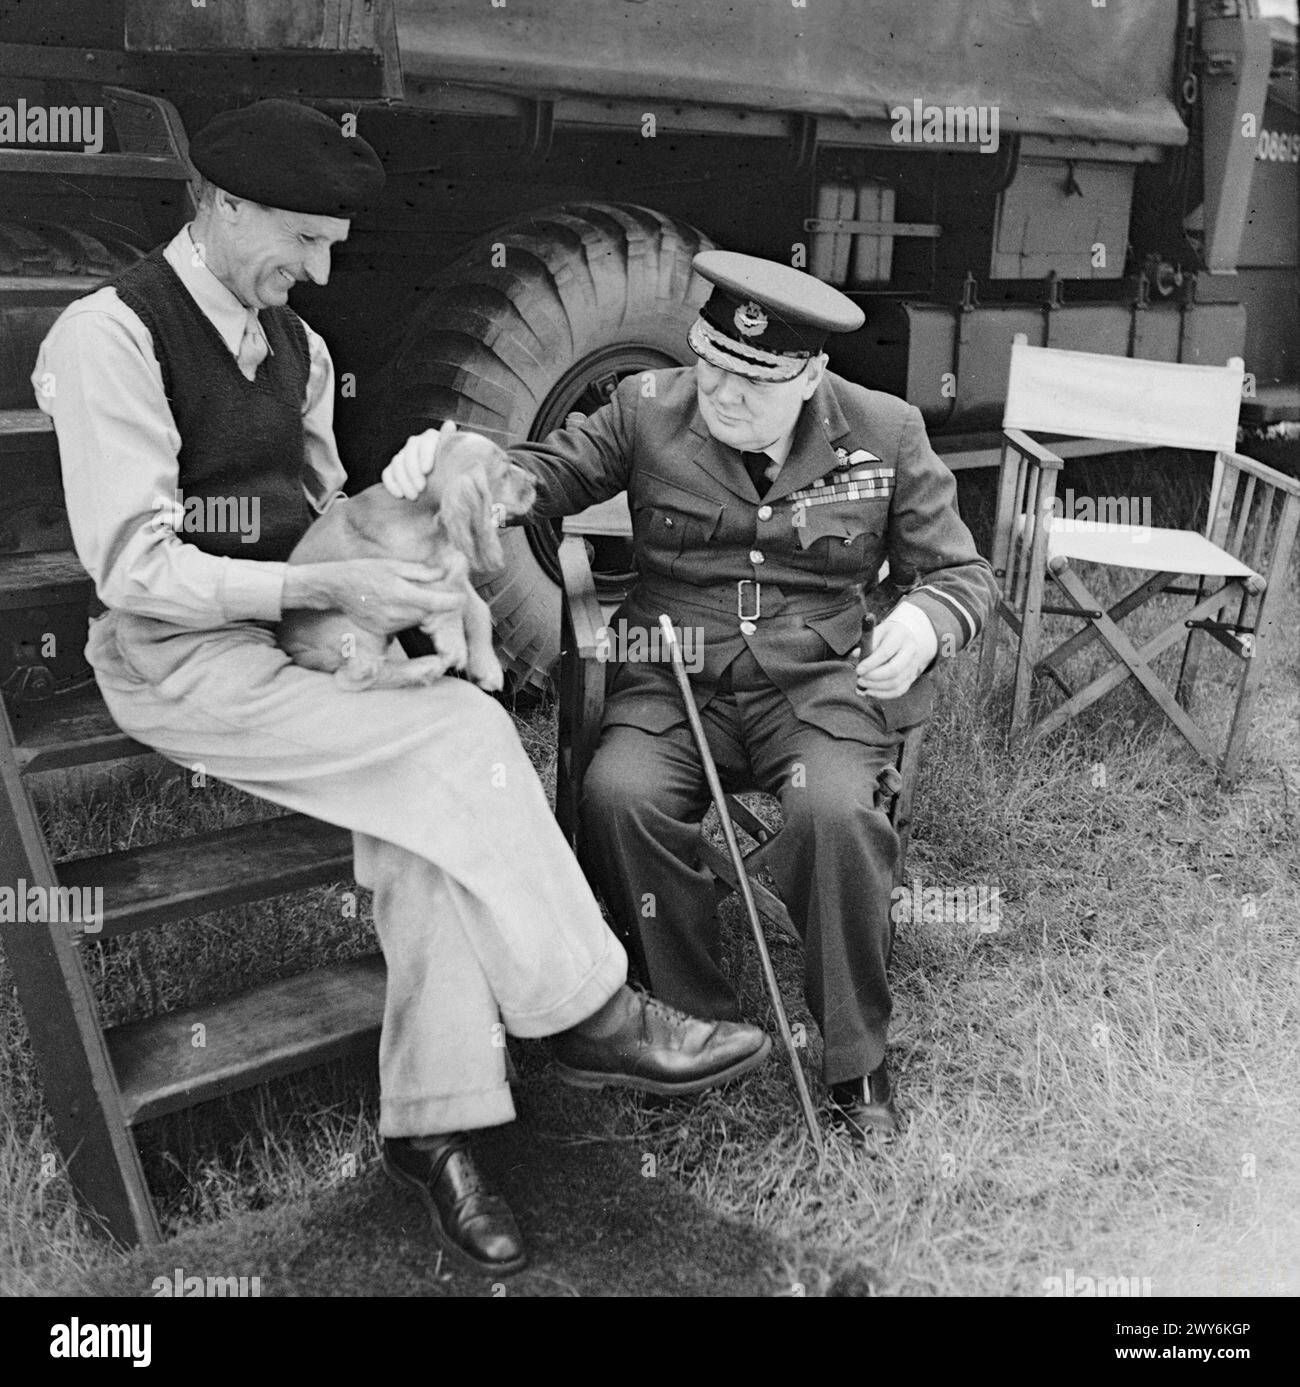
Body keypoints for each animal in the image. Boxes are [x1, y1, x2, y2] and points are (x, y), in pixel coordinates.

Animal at [276, 429, 535, 690]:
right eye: (504, 473)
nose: (535, 481)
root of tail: (291, 648)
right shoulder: (419, 577)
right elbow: (450, 603)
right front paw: (454, 643)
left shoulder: (456, 572)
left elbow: (478, 608)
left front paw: (487, 666)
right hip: (355, 630)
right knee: (356, 676)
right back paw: (426, 667)